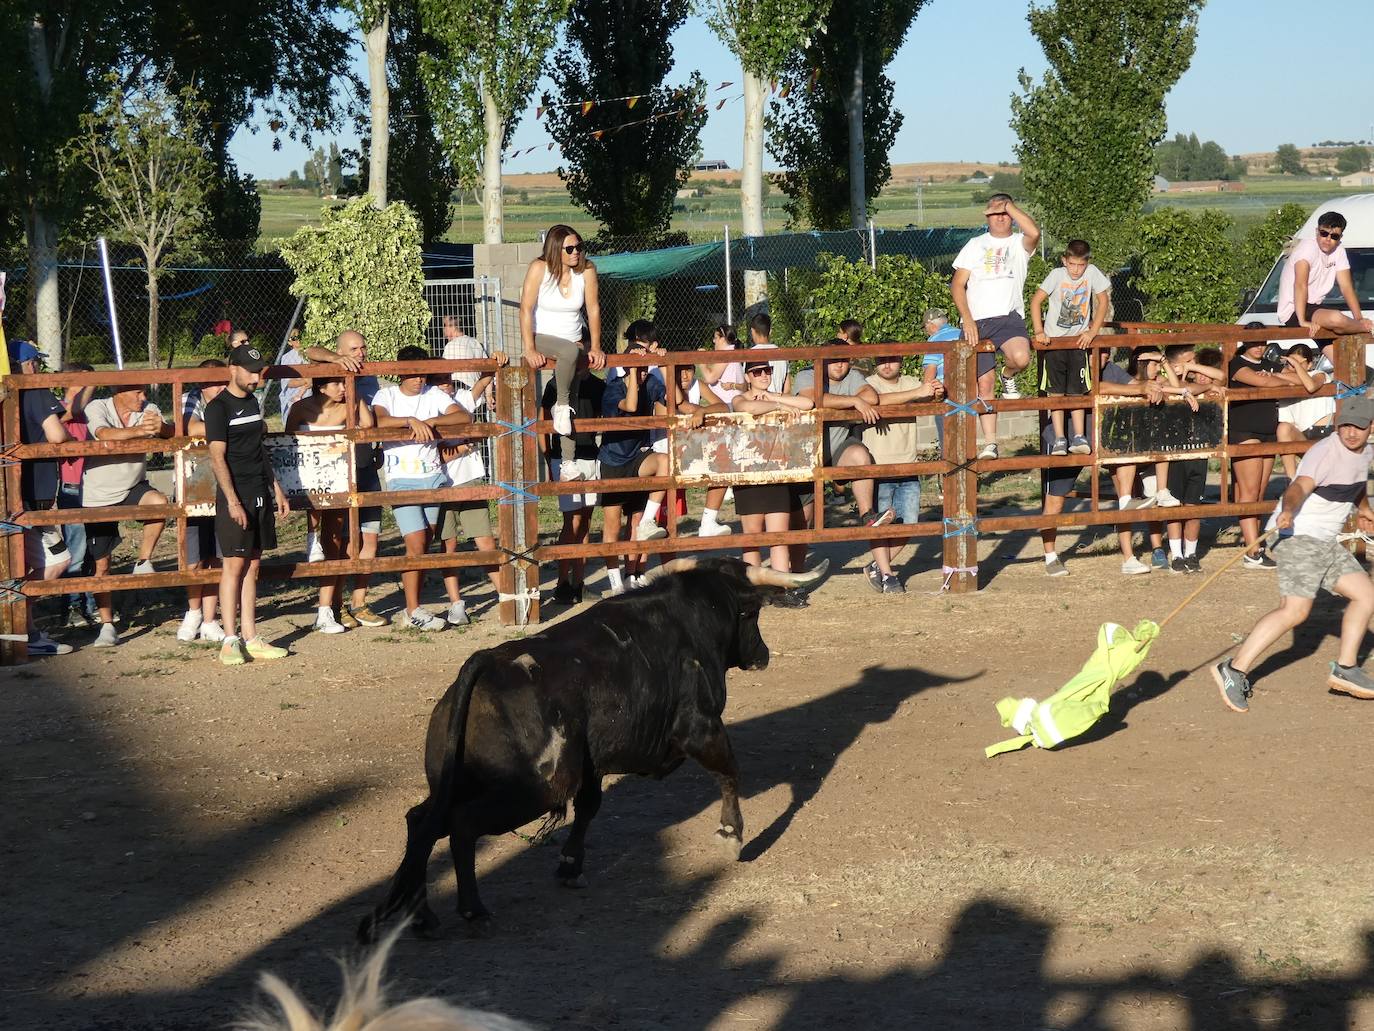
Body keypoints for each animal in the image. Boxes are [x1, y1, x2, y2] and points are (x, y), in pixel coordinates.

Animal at [357, 558, 824, 945]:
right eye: (751, 613)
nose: (762, 654)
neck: (693, 617)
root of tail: (486, 662)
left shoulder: (593, 765)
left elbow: (588, 808)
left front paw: (570, 865)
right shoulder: (701, 728)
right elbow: (729, 772)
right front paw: (731, 835)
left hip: (455, 782)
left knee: (421, 821)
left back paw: (419, 915)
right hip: (534, 789)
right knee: (463, 824)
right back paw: (473, 911)